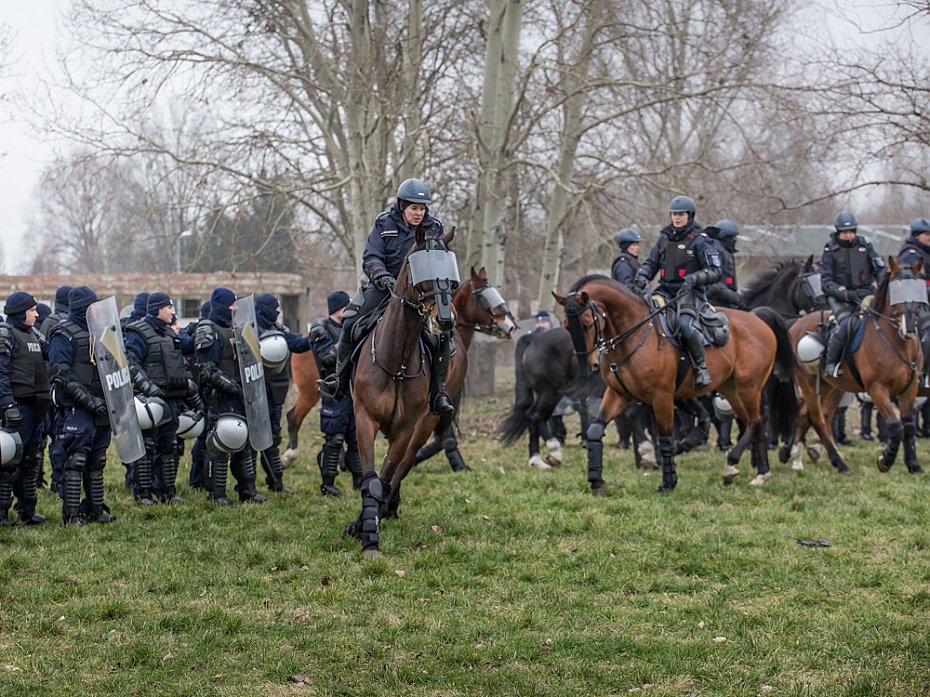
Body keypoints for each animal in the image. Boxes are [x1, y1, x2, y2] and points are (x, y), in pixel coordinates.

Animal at [342, 228, 462, 556]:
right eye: (418, 267)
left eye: (451, 273)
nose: (445, 319)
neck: (397, 362)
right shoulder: (365, 419)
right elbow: (370, 479)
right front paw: (367, 536)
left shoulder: (406, 429)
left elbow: (385, 477)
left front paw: (366, 524)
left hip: (426, 423)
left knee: (405, 464)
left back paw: (388, 507)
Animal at [556, 274, 792, 492]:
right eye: (566, 325)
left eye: (588, 323)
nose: (588, 365)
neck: (634, 335)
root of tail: (757, 319)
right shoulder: (618, 393)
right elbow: (596, 429)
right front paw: (597, 480)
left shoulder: (662, 396)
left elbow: (666, 437)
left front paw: (668, 481)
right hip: (731, 389)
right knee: (753, 422)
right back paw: (760, 472)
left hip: (748, 387)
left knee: (757, 421)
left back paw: (734, 464)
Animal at [788, 258, 924, 476]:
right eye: (896, 289)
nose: (909, 327)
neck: (895, 341)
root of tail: (795, 325)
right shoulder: (876, 389)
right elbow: (896, 427)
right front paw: (885, 461)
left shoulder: (909, 388)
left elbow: (909, 426)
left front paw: (913, 464)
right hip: (808, 384)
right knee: (817, 418)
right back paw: (839, 463)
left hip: (831, 386)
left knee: (814, 415)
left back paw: (796, 456)